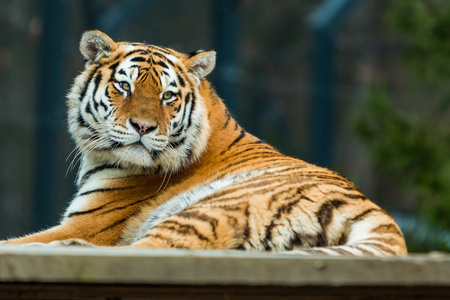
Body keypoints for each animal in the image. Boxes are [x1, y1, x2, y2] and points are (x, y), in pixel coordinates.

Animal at [0, 29, 406, 255]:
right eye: (124, 86)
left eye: (167, 96)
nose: (143, 127)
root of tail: (382, 220)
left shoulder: (86, 224)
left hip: (204, 213)